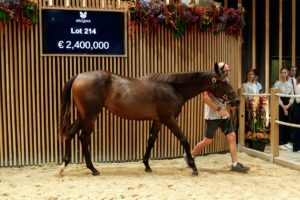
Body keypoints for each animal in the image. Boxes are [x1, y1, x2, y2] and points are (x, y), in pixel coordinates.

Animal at [59, 61, 240, 176]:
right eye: (223, 81)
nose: (237, 101)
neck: (172, 87)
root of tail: (78, 76)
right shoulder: (169, 119)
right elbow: (184, 139)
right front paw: (193, 167)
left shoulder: (158, 121)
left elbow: (151, 141)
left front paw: (146, 165)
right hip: (90, 115)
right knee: (83, 137)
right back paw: (93, 169)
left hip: (83, 115)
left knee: (70, 134)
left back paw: (65, 165)